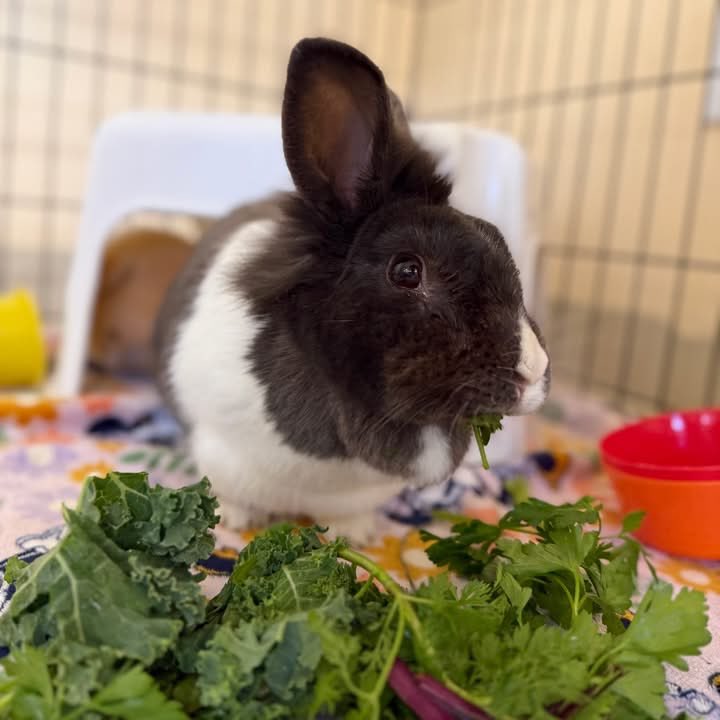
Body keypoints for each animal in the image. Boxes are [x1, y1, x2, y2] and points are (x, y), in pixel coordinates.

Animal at [154, 37, 550, 542]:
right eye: (407, 271)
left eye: (499, 240)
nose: (533, 373)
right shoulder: (217, 446)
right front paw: (236, 522)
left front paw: (356, 537)